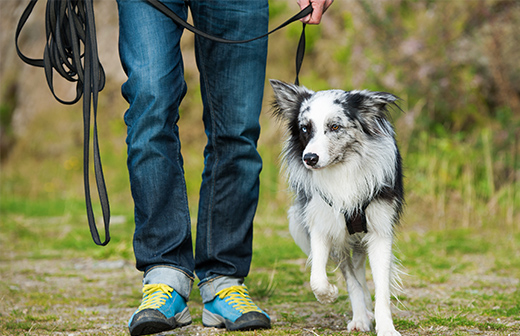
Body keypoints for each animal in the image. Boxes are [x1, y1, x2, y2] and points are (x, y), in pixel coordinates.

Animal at [270, 79, 404, 336]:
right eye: (305, 128)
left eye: (334, 127)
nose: (309, 158)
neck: (343, 170)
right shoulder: (322, 225)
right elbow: (321, 279)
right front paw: (331, 296)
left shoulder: (380, 232)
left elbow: (381, 287)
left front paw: (385, 327)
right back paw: (362, 314)